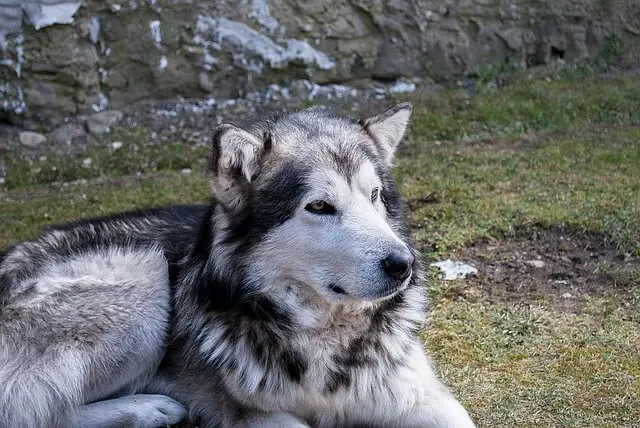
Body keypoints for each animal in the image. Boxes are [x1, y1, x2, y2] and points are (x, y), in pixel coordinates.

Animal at [0, 103, 476, 428]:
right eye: (319, 206)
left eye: (374, 196)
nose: (404, 264)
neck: (324, 339)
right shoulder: (254, 415)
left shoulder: (424, 399)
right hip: (145, 281)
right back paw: (148, 408)